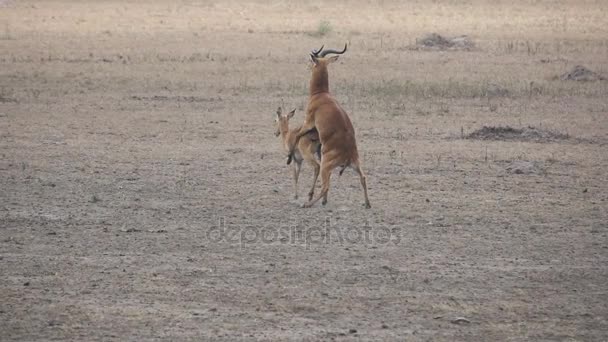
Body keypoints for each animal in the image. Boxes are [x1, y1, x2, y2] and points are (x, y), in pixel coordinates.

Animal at [288, 42, 372, 208]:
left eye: (312, 60)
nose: (307, 66)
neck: (320, 94)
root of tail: (348, 155)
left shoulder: (308, 123)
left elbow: (298, 135)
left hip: (326, 167)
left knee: (325, 185)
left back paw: (308, 203)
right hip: (355, 165)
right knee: (363, 177)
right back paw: (367, 204)